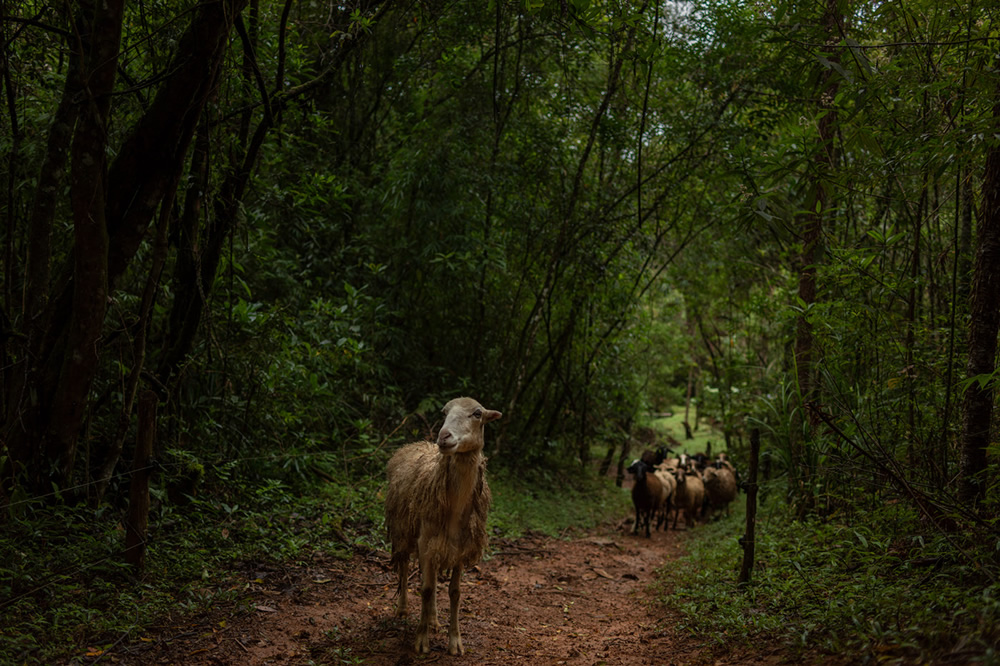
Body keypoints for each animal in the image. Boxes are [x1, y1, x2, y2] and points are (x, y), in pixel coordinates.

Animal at [382, 394, 500, 652]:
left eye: (477, 414)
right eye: (444, 412)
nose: (444, 436)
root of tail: (413, 444)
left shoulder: (461, 548)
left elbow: (454, 592)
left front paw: (455, 641)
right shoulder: (425, 540)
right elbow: (425, 590)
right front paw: (421, 640)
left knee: (434, 578)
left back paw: (434, 620)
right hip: (404, 531)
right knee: (405, 567)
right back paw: (403, 609)